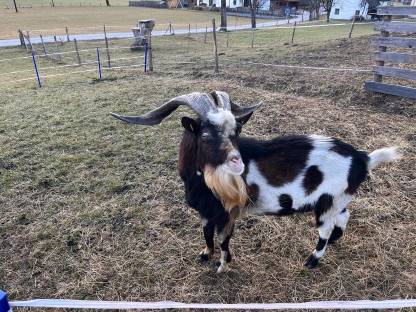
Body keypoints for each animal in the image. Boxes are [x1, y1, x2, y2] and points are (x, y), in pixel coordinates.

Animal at [111, 91, 400, 272]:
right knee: (345, 216)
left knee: (325, 230)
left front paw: (222, 264)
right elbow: (206, 234)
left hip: (327, 202)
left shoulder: (227, 212)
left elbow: (223, 239)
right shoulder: (206, 212)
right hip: (340, 199)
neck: (199, 181)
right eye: (205, 134)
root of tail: (362, 158)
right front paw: (205, 255)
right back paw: (337, 240)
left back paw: (312, 260)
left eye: (237, 131)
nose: (237, 162)